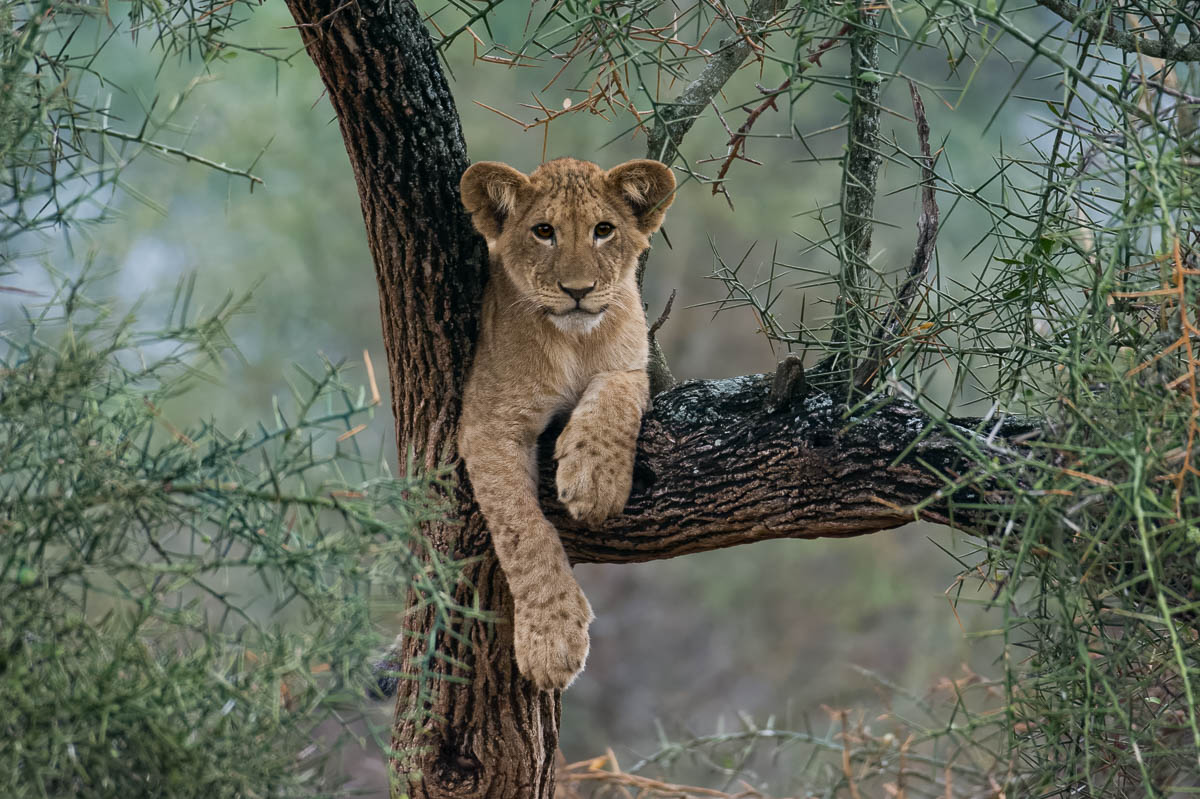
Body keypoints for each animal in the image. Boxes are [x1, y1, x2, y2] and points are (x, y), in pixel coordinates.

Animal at [457, 156, 675, 690]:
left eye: (603, 230)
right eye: (543, 232)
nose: (578, 292)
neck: (573, 342)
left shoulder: (632, 367)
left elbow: (614, 396)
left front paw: (594, 482)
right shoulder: (487, 423)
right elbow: (522, 530)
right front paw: (551, 638)